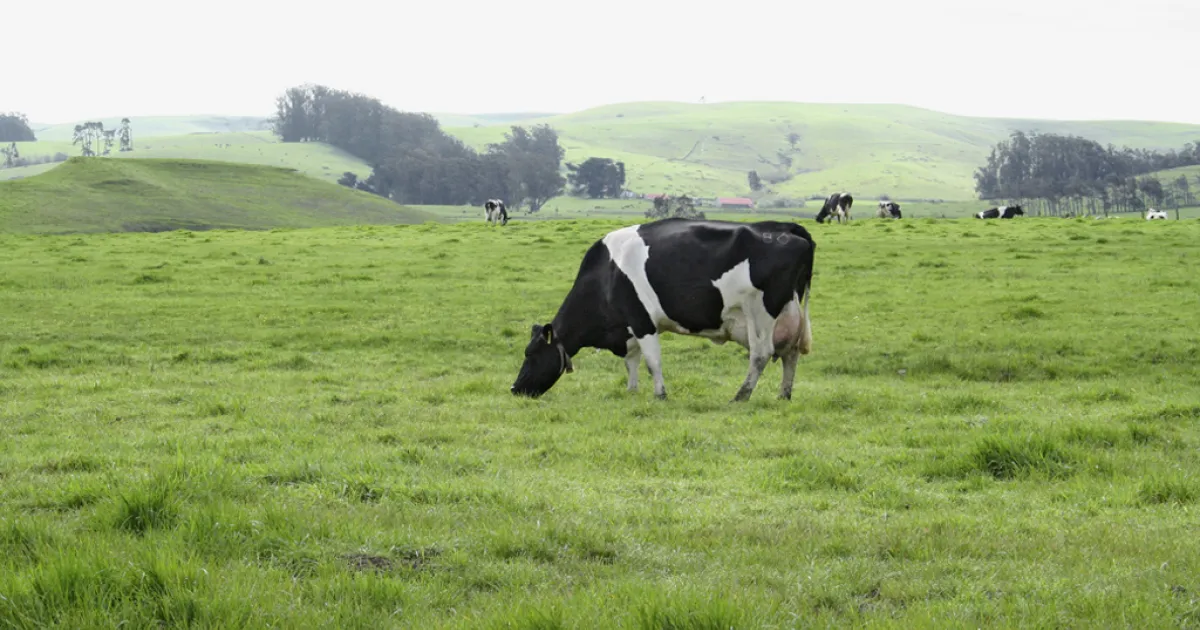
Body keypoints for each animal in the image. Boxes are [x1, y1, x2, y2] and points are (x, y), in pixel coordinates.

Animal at [510, 218, 816, 402]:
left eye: (531, 354)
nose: (515, 389)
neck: (606, 273)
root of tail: (785, 228)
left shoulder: (642, 320)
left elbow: (651, 361)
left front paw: (659, 395)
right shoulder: (628, 327)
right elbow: (631, 361)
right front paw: (632, 391)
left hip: (761, 312)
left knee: (761, 354)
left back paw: (740, 396)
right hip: (789, 312)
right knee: (790, 354)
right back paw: (783, 395)